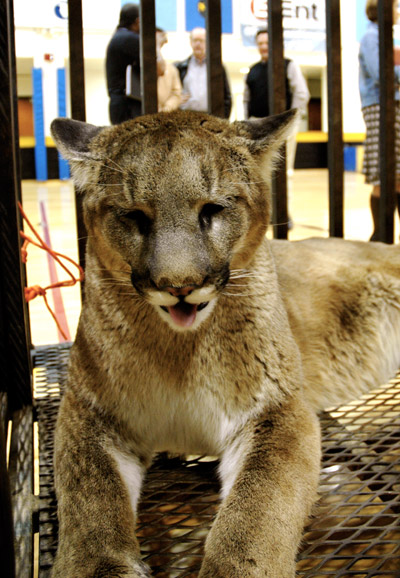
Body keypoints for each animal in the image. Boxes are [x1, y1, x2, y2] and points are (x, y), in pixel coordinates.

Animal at [50, 109, 400, 576]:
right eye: (135, 215)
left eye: (212, 210)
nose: (179, 286)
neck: (179, 351)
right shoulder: (88, 412)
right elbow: (90, 497)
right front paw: (100, 567)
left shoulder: (279, 409)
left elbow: (258, 509)